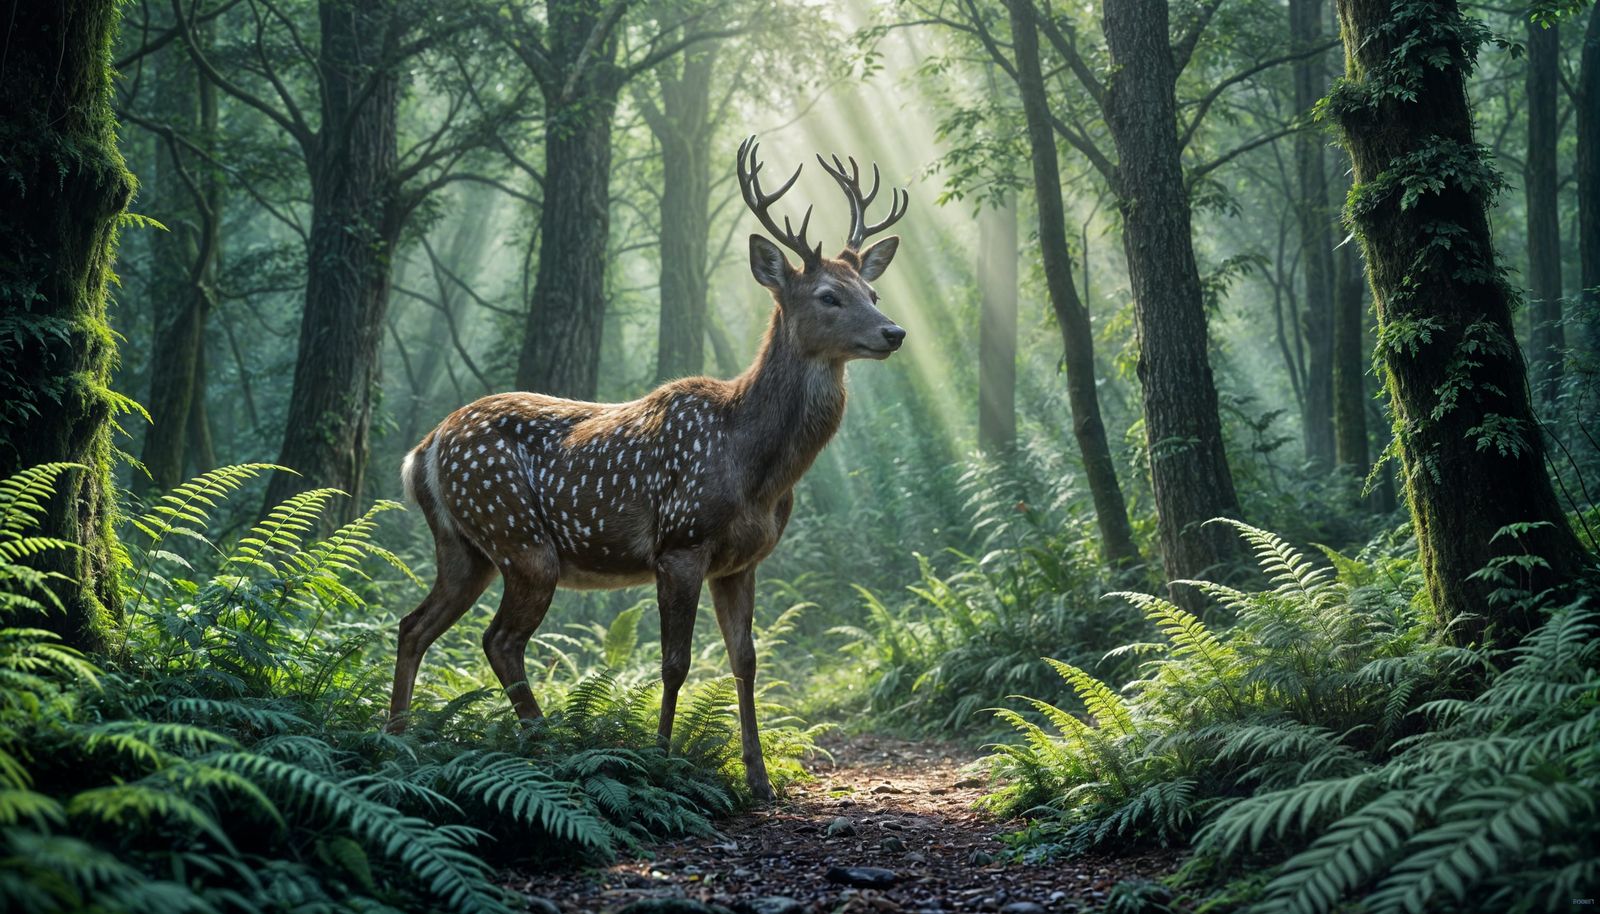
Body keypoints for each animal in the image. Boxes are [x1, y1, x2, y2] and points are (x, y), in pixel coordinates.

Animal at [388, 136, 909, 802]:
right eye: (828, 296)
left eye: (872, 293)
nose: (894, 331)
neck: (756, 467)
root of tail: (422, 451)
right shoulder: (679, 542)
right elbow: (675, 663)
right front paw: (662, 763)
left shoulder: (743, 561)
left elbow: (745, 660)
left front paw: (760, 780)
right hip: (519, 537)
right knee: (498, 640)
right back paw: (548, 746)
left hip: (465, 549)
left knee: (413, 626)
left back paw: (399, 743)